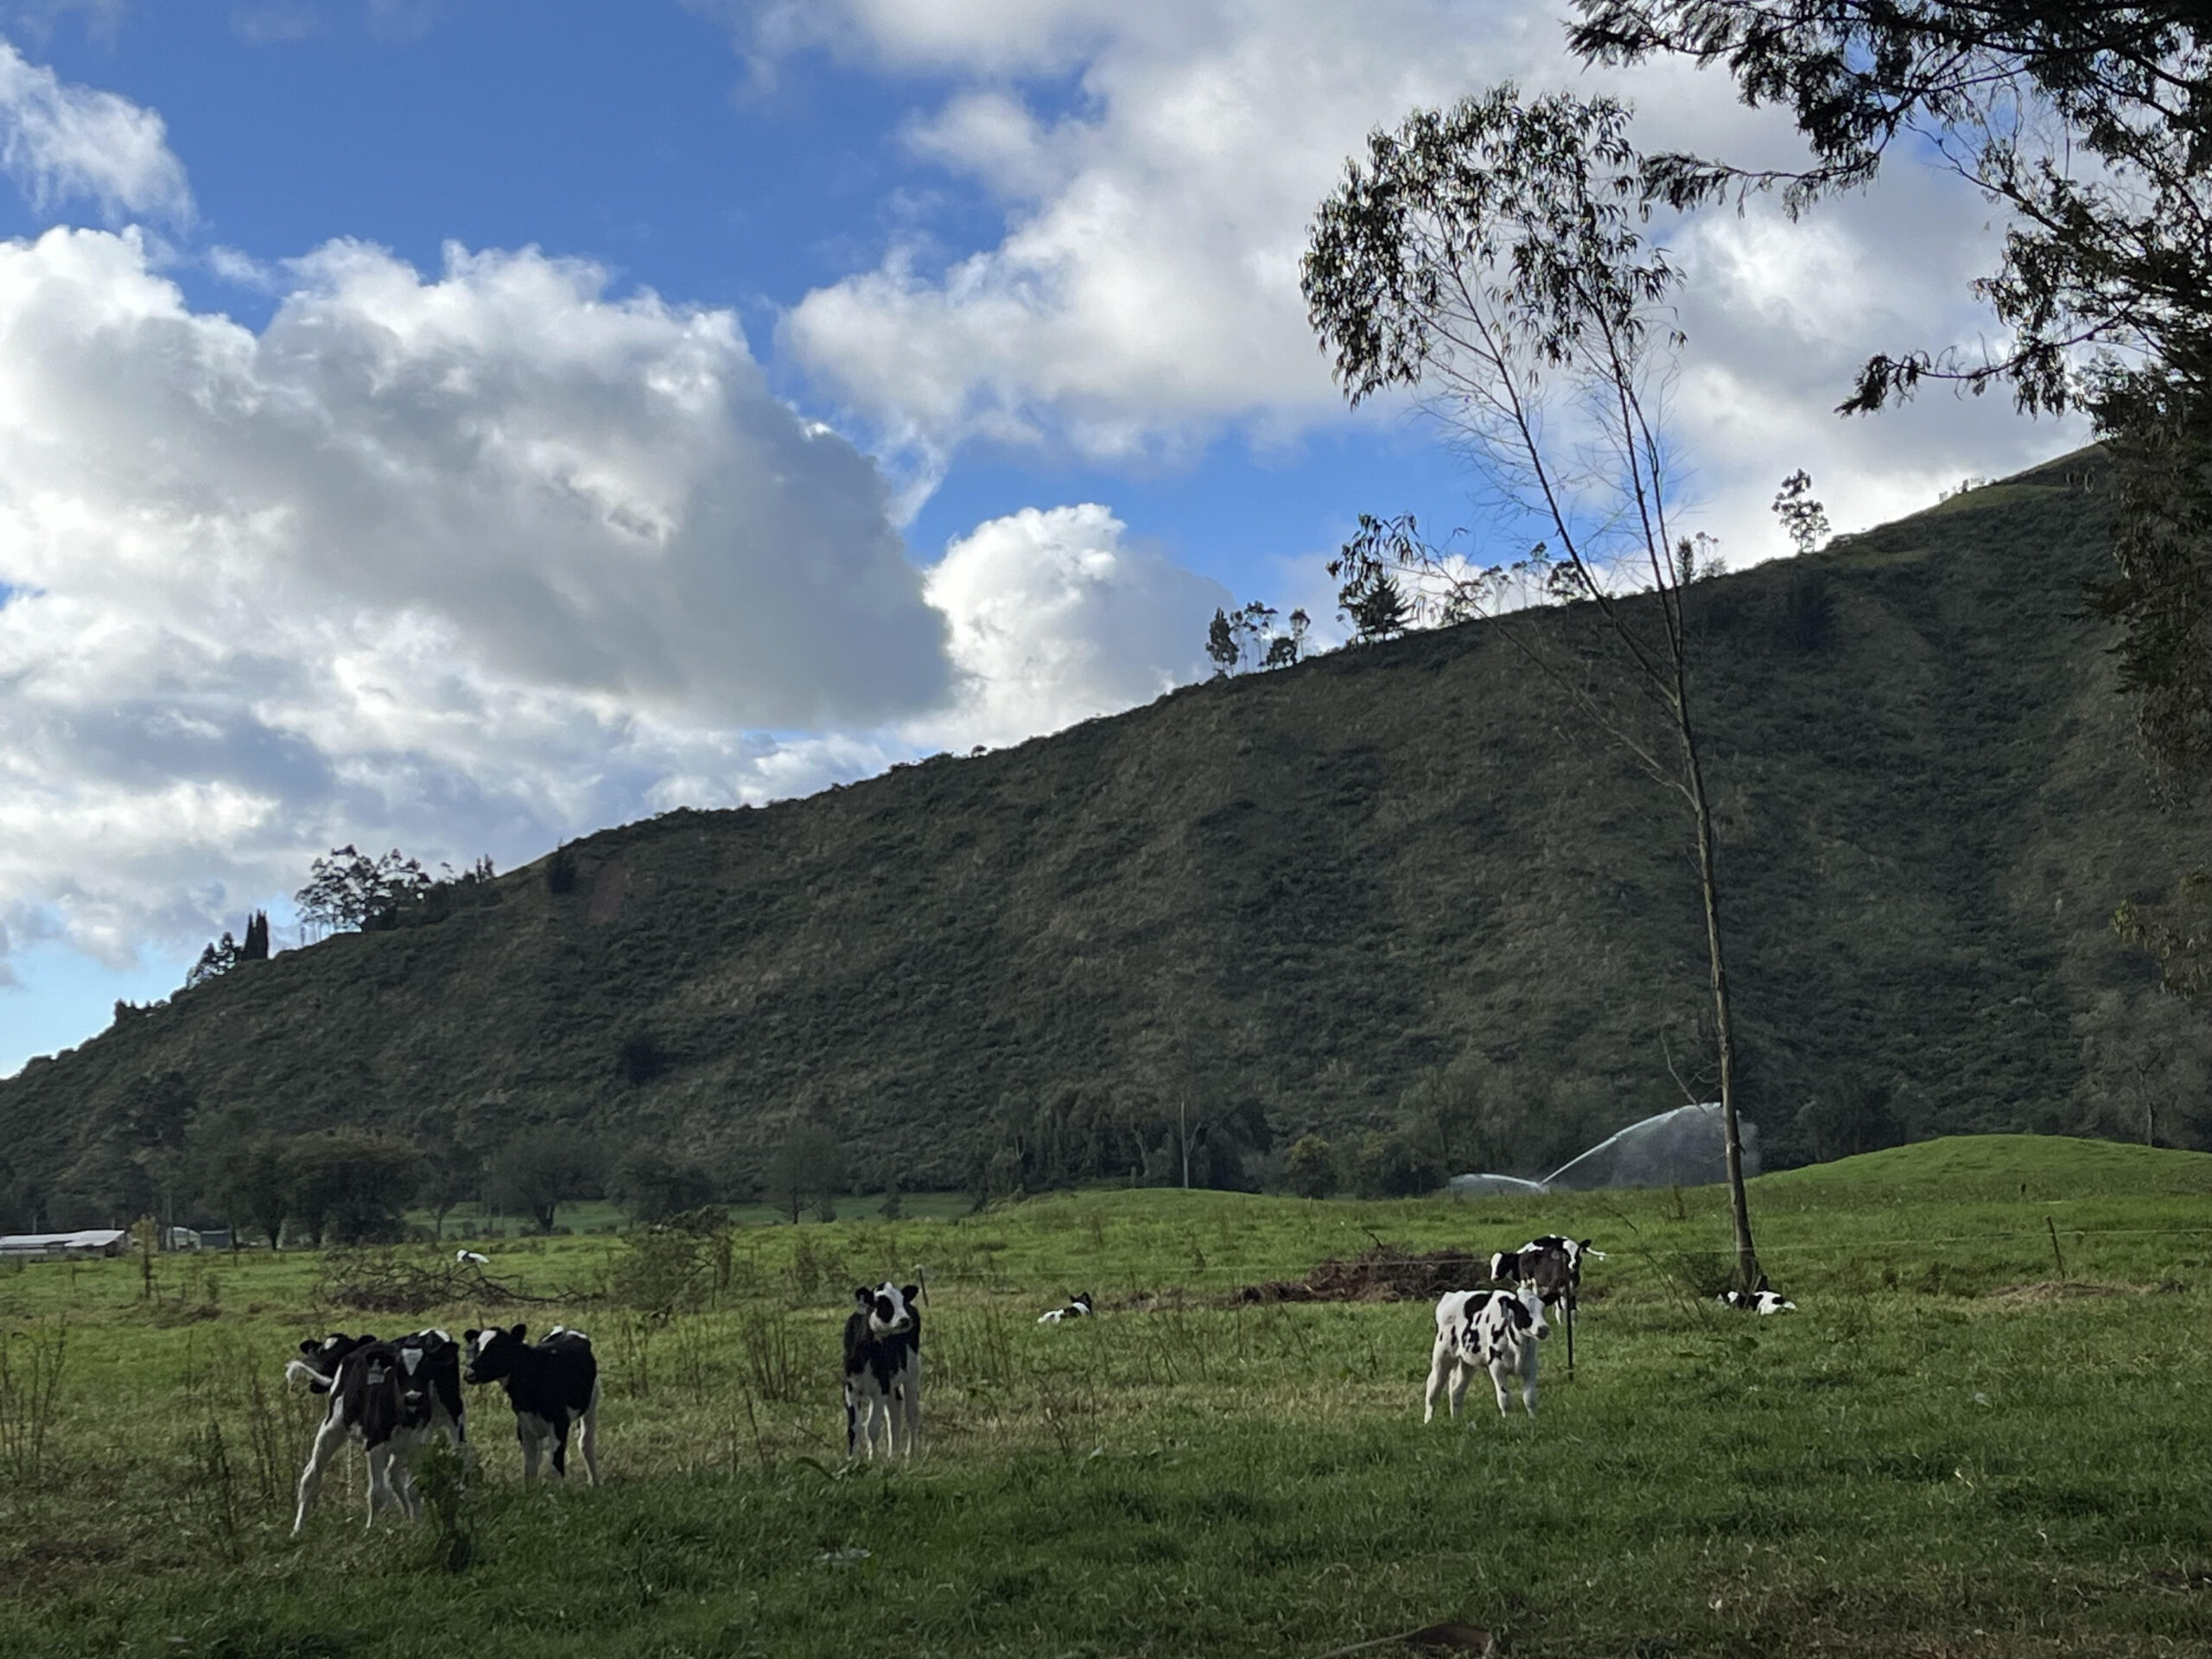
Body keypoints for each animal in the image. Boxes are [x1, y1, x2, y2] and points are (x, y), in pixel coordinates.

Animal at [287, 1336, 464, 1539]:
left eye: (427, 1368)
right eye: (398, 1369)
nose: (413, 1397)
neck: (405, 1416)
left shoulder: (418, 1446)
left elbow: (414, 1488)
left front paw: (417, 1528)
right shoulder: (376, 1445)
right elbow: (377, 1494)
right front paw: (370, 1531)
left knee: (395, 1476)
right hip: (333, 1427)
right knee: (311, 1476)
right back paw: (297, 1530)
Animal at [462, 1336, 606, 1486]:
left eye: (496, 1348)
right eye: (475, 1348)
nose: (468, 1374)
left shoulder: (559, 1423)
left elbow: (555, 1465)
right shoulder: (524, 1424)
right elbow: (530, 1467)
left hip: (591, 1405)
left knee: (585, 1443)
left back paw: (594, 1482)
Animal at [840, 1282, 919, 1459]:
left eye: (903, 1301)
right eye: (883, 1304)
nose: (905, 1319)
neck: (866, 1354)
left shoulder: (880, 1387)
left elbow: (872, 1427)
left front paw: (872, 1459)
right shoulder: (850, 1388)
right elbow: (853, 1428)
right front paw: (851, 1460)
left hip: (912, 1374)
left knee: (912, 1414)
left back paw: (910, 1454)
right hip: (892, 1382)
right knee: (895, 1412)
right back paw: (893, 1454)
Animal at [1424, 1282, 1548, 1433]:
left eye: (1542, 1308)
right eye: (1522, 1309)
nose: (1543, 1329)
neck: (1517, 1346)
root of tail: (1451, 1296)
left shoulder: (1531, 1367)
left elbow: (1530, 1398)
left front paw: (1533, 1420)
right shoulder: (1497, 1367)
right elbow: (1504, 1398)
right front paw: (1508, 1421)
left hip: (1467, 1363)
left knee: (1456, 1392)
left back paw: (1457, 1422)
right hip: (1442, 1357)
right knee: (1433, 1389)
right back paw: (1428, 1422)